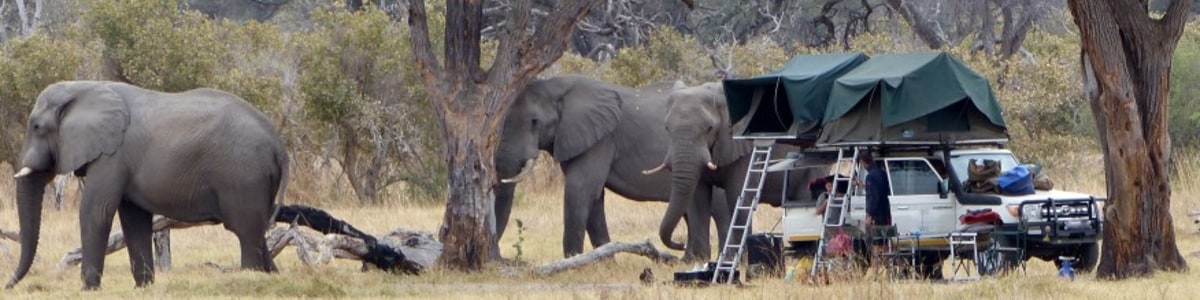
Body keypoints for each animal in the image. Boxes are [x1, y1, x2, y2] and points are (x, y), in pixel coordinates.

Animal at [8, 81, 288, 289]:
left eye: (37, 127)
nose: (8, 285)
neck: (84, 87)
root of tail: (279, 146)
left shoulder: (112, 155)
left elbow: (96, 211)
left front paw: (88, 290)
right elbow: (134, 219)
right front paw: (143, 287)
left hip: (245, 175)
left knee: (246, 232)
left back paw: (250, 279)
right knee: (257, 232)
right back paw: (271, 278)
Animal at [496, 75, 729, 260]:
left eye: (535, 121)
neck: (560, 86)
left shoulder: (600, 140)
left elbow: (580, 190)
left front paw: (574, 262)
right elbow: (594, 197)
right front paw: (604, 261)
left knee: (719, 211)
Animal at [643, 81, 830, 260]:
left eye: (709, 128)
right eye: (667, 128)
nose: (679, 245)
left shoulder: (744, 148)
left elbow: (738, 198)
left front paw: (740, 259)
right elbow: (698, 201)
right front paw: (698, 260)